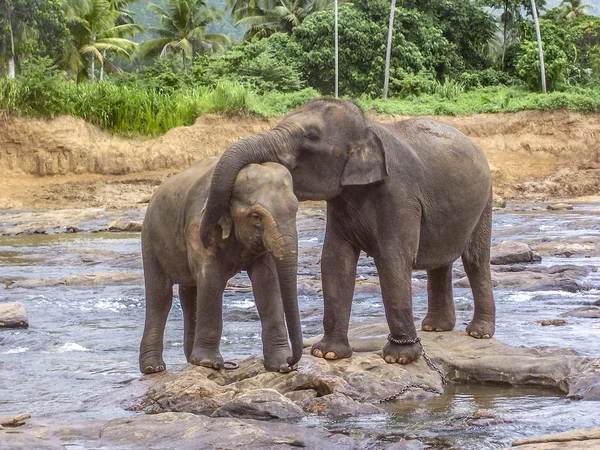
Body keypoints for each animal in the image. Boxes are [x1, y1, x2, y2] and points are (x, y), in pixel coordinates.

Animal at [139, 156, 302, 374]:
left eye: (295, 210)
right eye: (256, 216)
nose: (292, 360)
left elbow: (266, 282)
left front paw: (281, 366)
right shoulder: (197, 225)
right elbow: (211, 278)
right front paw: (209, 364)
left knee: (189, 294)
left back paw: (190, 360)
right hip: (150, 238)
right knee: (160, 296)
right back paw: (154, 368)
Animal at [199, 99, 494, 366]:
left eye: (311, 136)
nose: (207, 236)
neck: (368, 128)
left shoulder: (400, 195)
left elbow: (393, 260)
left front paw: (399, 358)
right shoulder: (340, 201)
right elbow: (335, 260)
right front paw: (327, 354)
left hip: (485, 201)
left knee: (475, 259)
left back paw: (478, 333)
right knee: (440, 263)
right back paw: (436, 328)